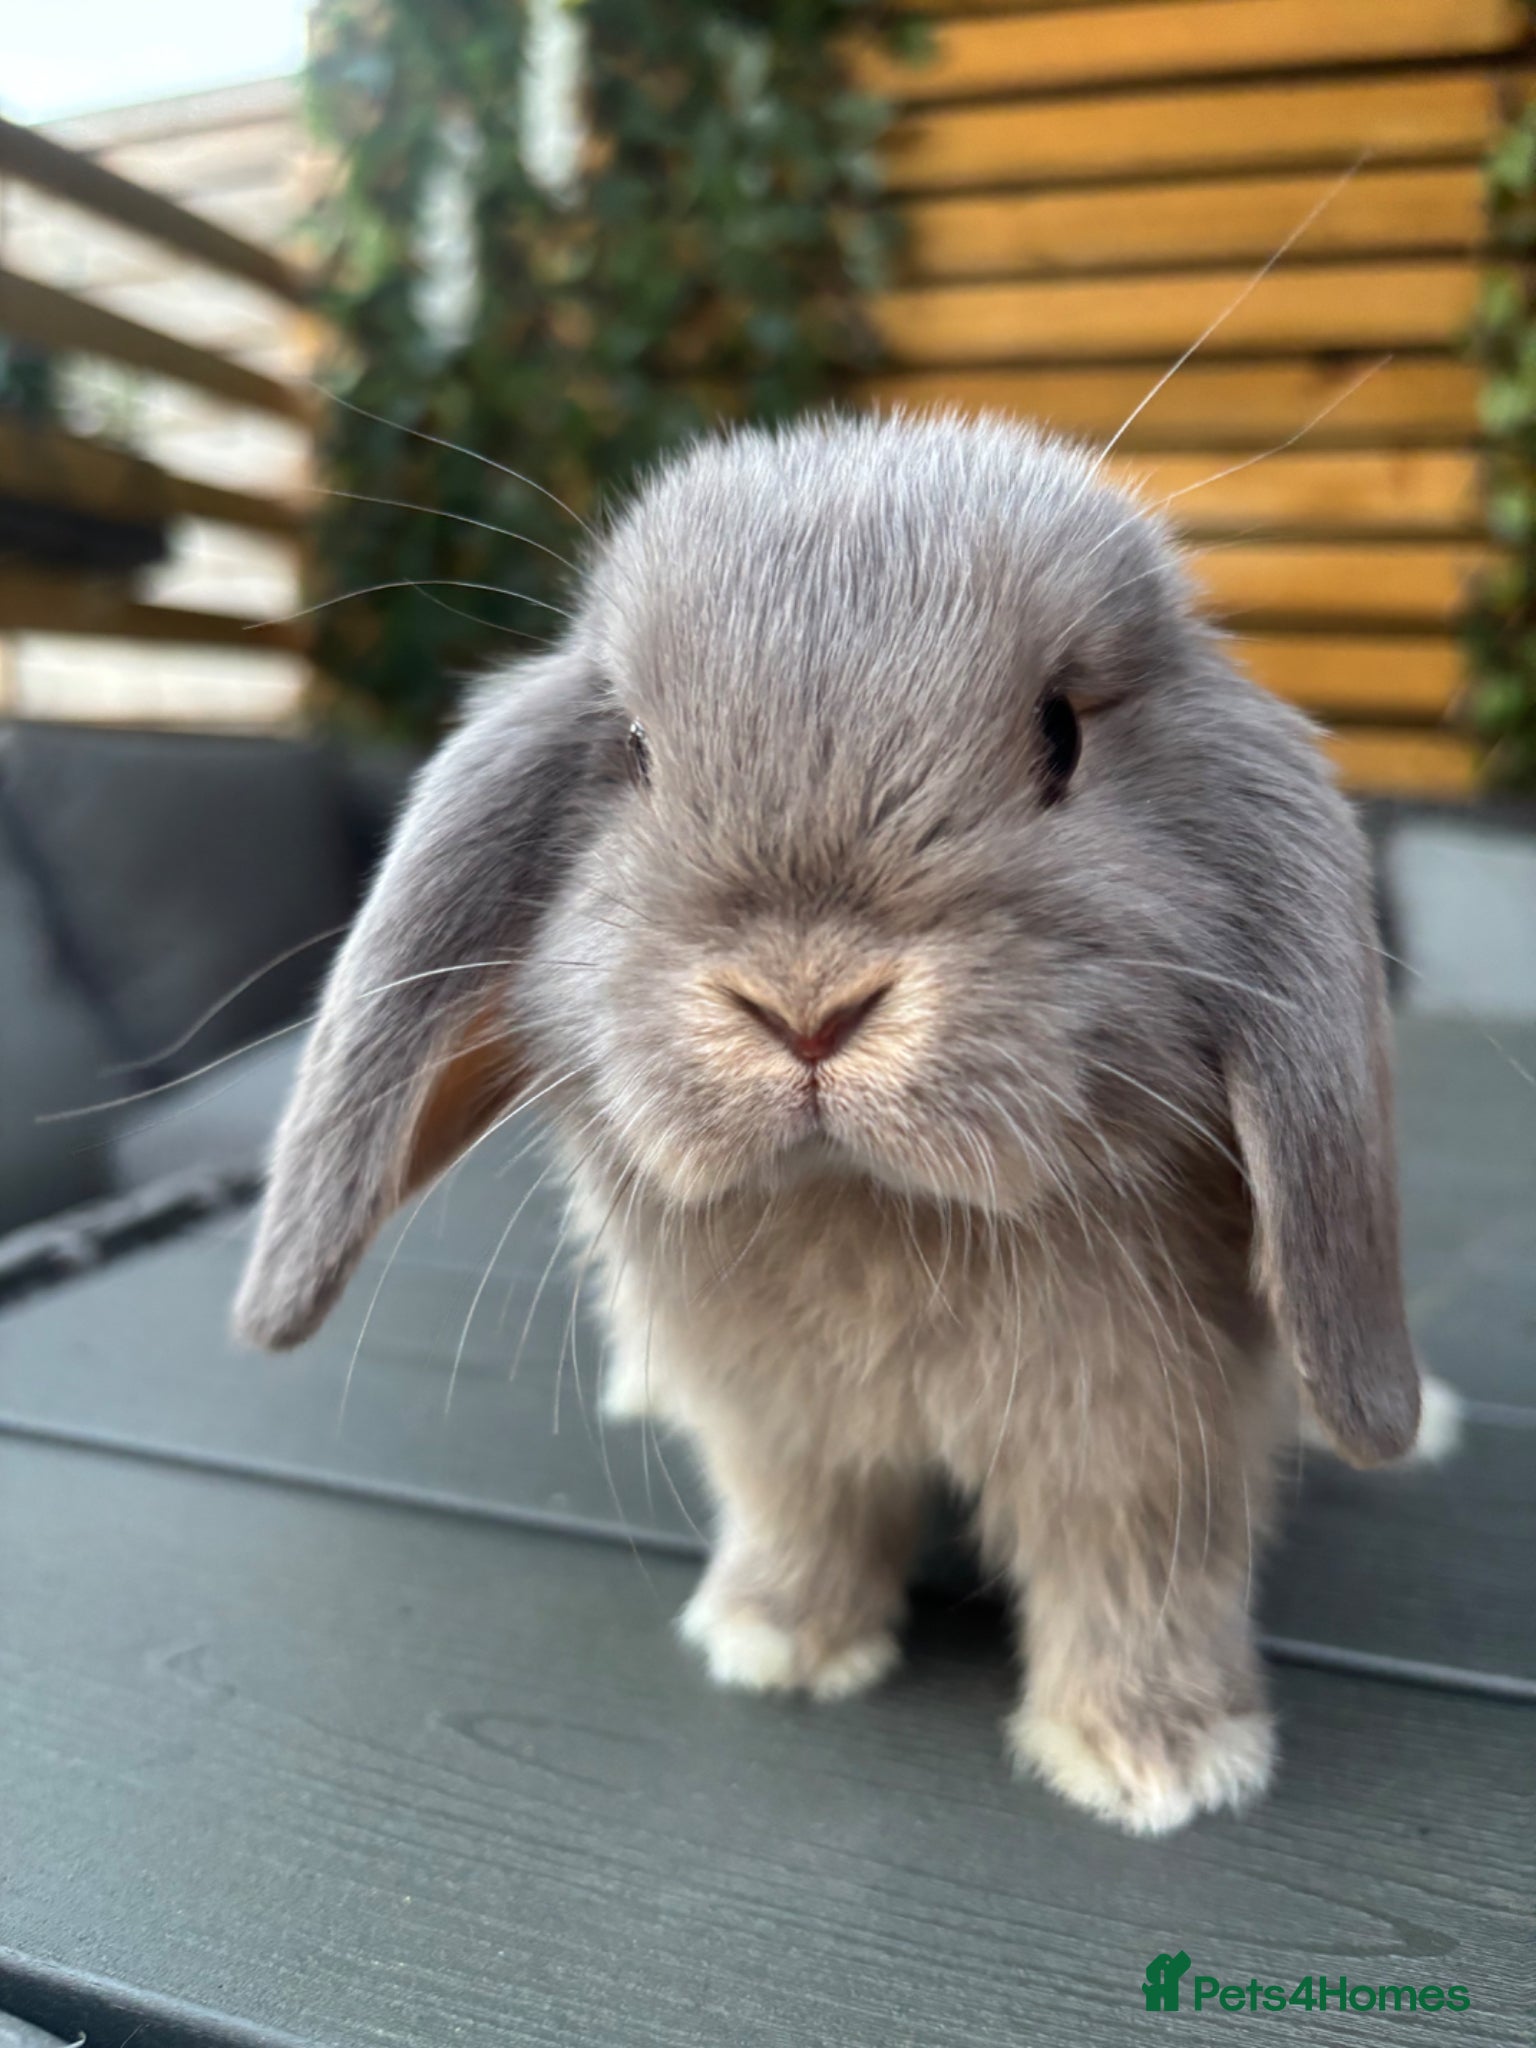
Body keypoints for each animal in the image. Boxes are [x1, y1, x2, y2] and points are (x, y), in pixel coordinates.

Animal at [234, 412, 1424, 1836]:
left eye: (1062, 734)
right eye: (634, 750)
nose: (806, 1004)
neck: (872, 1205)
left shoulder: (1143, 1443)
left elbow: (1133, 1574)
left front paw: (1161, 1758)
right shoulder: (777, 1427)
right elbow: (801, 1515)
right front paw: (775, 1644)